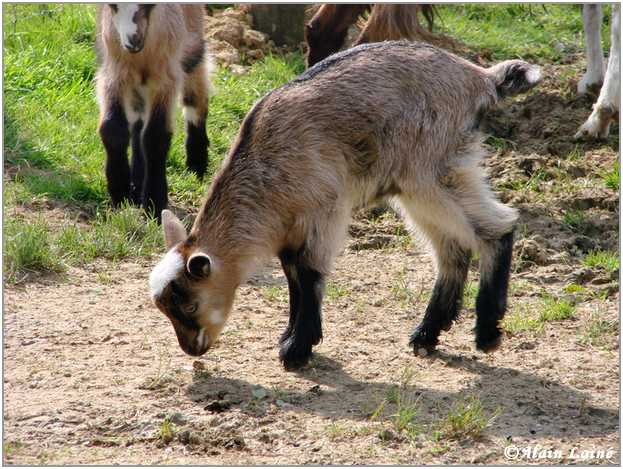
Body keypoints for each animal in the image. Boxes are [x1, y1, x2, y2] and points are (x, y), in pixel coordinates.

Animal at [96, 3, 211, 220]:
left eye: (148, 5)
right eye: (112, 5)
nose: (133, 39)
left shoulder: (165, 78)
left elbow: (155, 137)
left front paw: (155, 204)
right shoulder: (115, 72)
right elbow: (112, 129)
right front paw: (120, 193)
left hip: (192, 40)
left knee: (195, 92)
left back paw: (197, 164)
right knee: (138, 121)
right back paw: (137, 183)